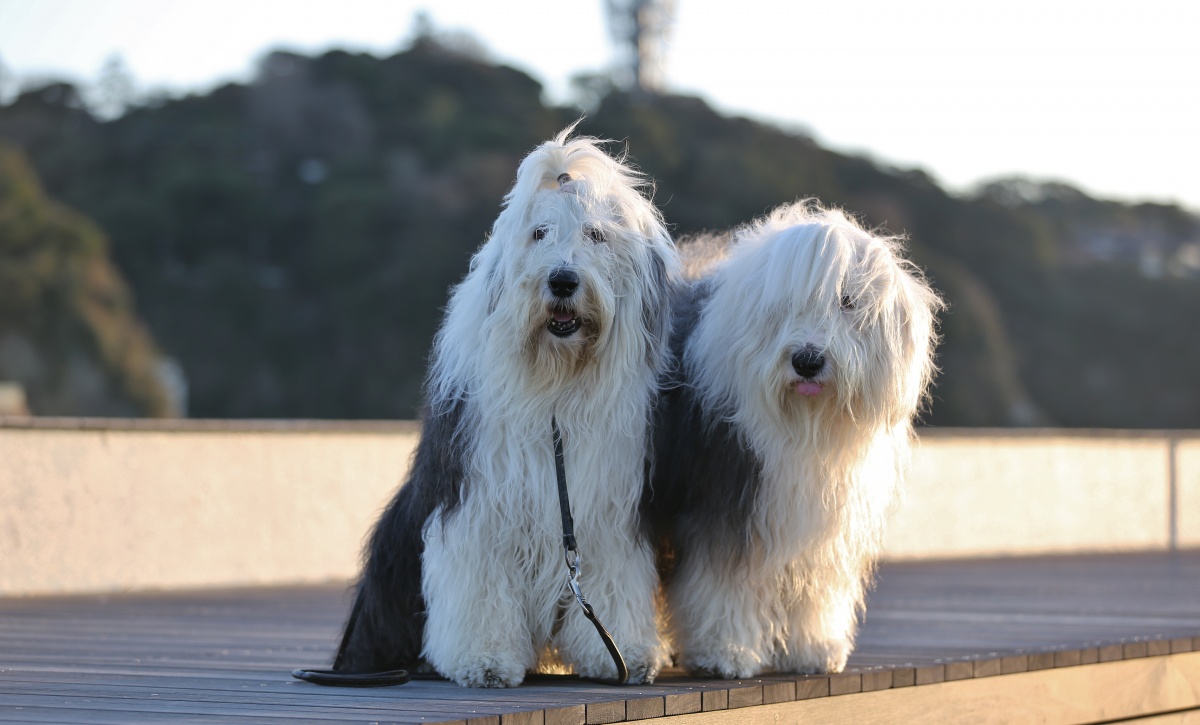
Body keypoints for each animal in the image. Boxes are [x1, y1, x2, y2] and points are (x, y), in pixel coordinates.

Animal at [333, 127, 679, 687]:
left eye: (596, 236)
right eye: (539, 234)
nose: (562, 281)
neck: (554, 382)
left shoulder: (605, 512)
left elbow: (610, 576)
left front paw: (620, 653)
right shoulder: (478, 501)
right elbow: (481, 579)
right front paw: (485, 660)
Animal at [645, 201, 940, 678]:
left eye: (847, 302)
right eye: (784, 306)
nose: (807, 360)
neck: (805, 426)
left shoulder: (818, 521)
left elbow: (815, 585)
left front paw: (813, 649)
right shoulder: (728, 498)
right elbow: (723, 581)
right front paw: (725, 653)